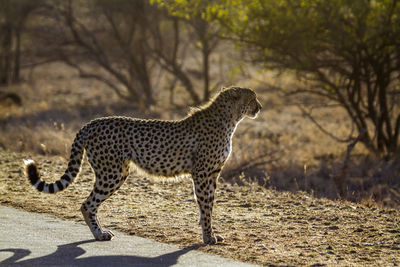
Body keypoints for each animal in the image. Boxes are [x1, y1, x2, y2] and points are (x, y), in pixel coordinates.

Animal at [24, 86, 262, 245]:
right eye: (252, 98)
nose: (260, 107)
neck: (230, 119)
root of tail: (92, 122)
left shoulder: (212, 173)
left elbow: (207, 206)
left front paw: (209, 232)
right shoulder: (203, 173)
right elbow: (205, 205)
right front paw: (208, 237)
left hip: (118, 172)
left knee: (89, 203)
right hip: (112, 173)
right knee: (87, 204)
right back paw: (100, 234)